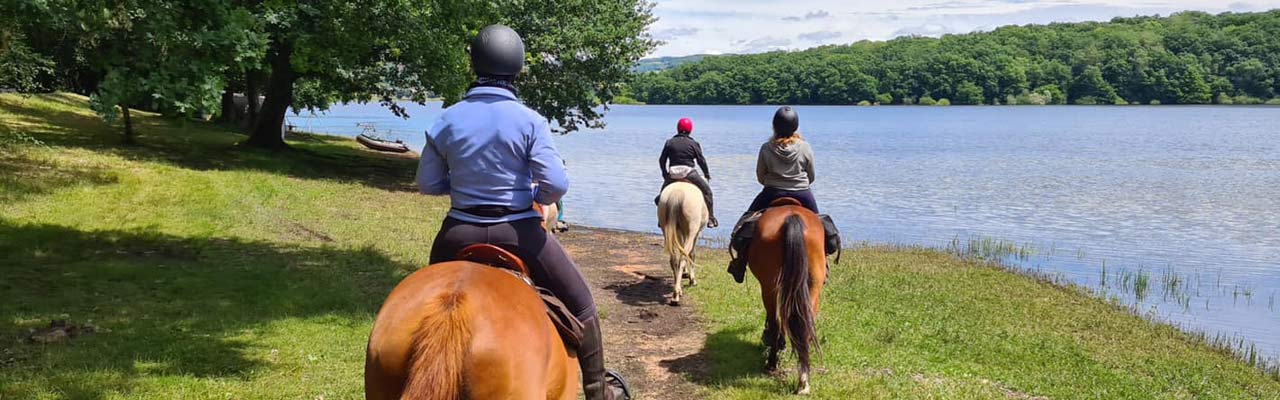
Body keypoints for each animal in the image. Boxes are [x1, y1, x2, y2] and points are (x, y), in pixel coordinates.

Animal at [747, 197, 824, 394]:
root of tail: (792, 217)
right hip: (813, 286)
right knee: (805, 324)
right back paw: (803, 381)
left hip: (769, 287)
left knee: (775, 322)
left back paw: (772, 363)